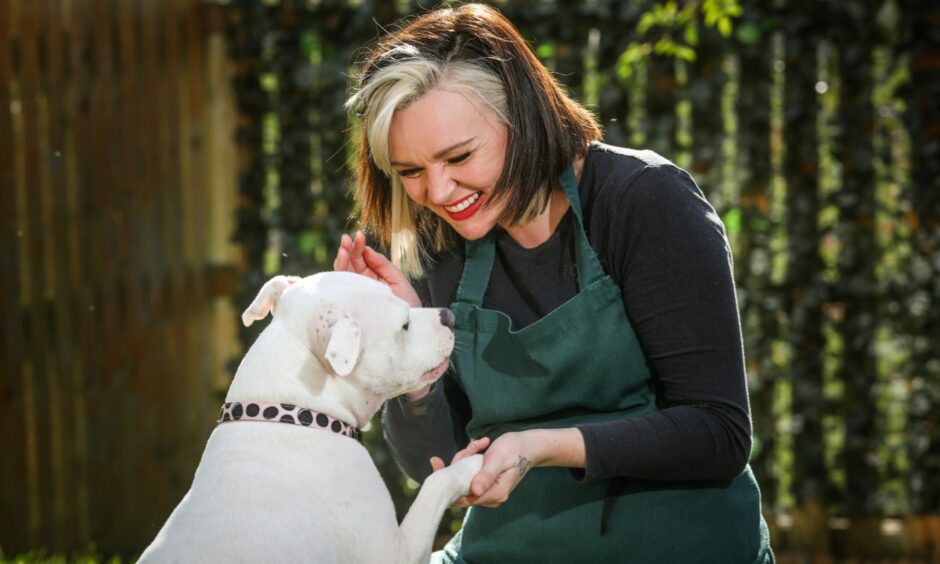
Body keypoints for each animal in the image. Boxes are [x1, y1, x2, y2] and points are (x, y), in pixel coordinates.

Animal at [138, 270, 484, 560]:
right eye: (404, 325)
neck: (295, 414)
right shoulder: (395, 554)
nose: (449, 315)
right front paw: (473, 465)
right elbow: (436, 483)